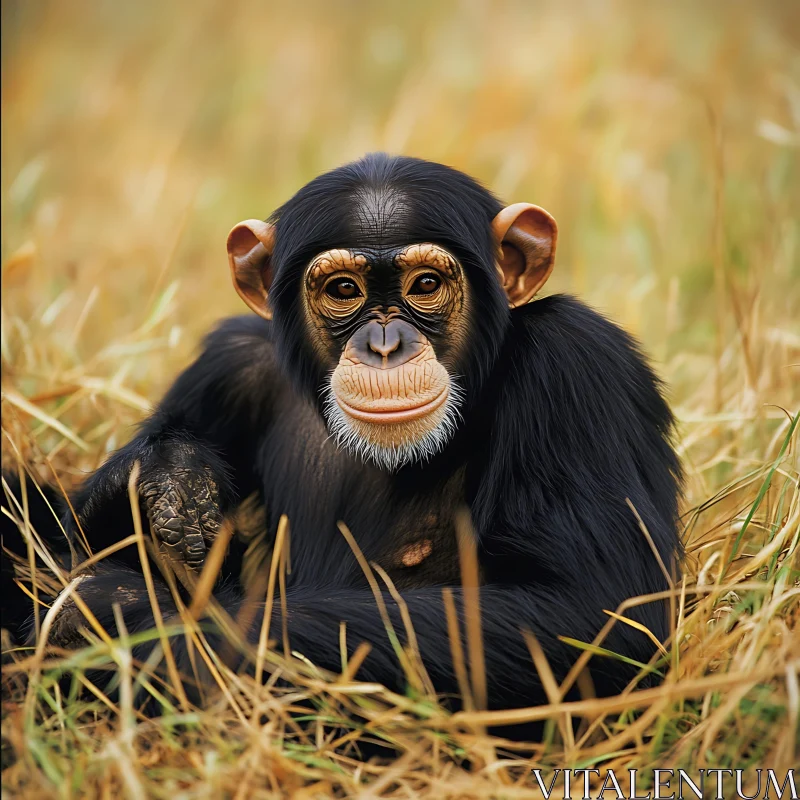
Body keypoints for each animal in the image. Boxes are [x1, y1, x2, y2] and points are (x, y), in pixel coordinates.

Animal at [4, 153, 680, 736]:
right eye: (344, 291)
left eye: (425, 284)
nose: (384, 344)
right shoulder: (227, 365)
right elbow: (61, 525)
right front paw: (170, 477)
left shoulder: (577, 364)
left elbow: (592, 616)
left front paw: (123, 612)